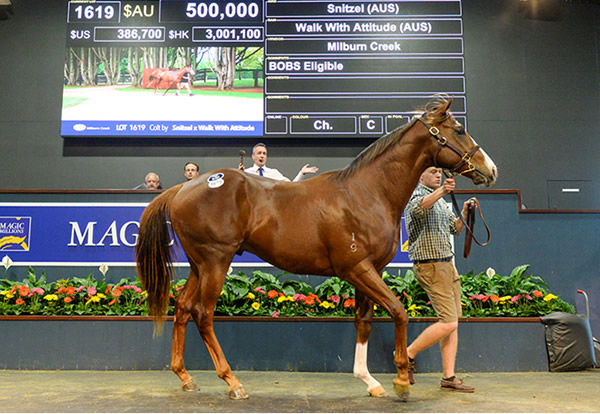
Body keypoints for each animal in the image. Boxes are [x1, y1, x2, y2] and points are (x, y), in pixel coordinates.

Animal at [135, 97, 496, 402]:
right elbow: (398, 312)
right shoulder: (356, 268)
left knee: (183, 307)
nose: (490, 170)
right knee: (203, 314)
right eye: (459, 130)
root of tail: (182, 188)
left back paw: (185, 377)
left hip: (200, 264)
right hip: (215, 262)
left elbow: (363, 320)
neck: (366, 193)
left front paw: (370, 381)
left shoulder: (371, 270)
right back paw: (233, 383)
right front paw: (401, 381)